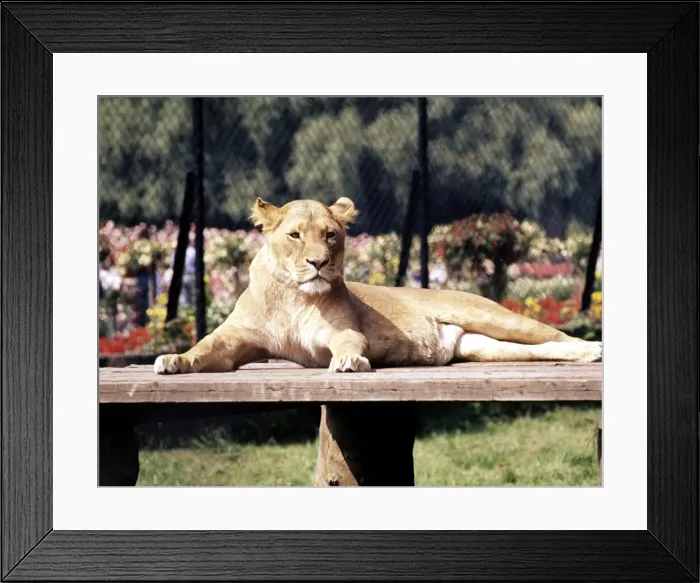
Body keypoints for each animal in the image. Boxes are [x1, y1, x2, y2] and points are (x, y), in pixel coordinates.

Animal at [154, 197, 602, 375]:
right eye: (296, 236)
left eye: (331, 235)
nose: (319, 263)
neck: (294, 295)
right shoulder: (236, 339)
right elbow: (205, 347)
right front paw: (174, 360)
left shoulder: (342, 331)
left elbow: (350, 344)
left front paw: (350, 362)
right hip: (484, 347)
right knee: (541, 348)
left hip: (493, 316)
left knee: (553, 334)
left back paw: (593, 349)